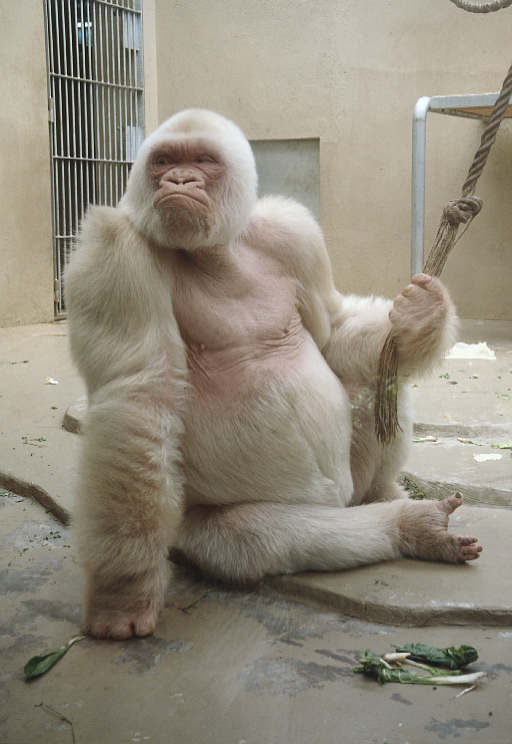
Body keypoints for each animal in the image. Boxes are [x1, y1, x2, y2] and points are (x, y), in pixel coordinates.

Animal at [66, 109, 482, 640]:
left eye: (202, 160)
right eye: (163, 161)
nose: (179, 180)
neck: (219, 249)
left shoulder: (293, 234)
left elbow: (332, 331)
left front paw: (420, 319)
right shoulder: (113, 251)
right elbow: (139, 400)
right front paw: (122, 593)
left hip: (349, 485)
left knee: (379, 378)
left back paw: (386, 494)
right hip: (196, 525)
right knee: (256, 534)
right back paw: (408, 525)